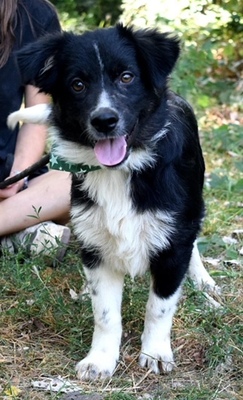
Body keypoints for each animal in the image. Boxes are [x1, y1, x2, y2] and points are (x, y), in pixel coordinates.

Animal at [9, 23, 218, 380]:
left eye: (127, 77)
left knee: (193, 249)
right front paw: (101, 359)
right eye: (77, 84)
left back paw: (204, 283)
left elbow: (160, 306)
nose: (104, 120)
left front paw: (155, 352)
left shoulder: (173, 238)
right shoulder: (96, 246)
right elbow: (105, 313)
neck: (123, 169)